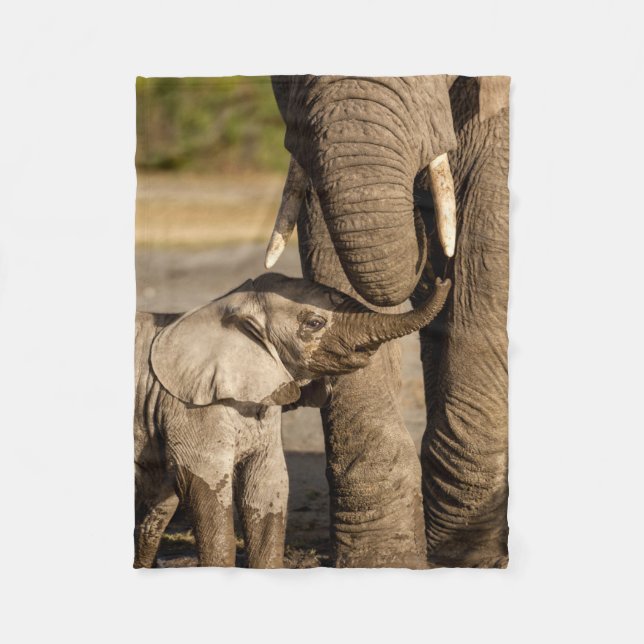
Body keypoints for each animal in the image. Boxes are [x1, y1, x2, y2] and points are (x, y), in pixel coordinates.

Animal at [133, 272, 450, 568]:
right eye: (314, 323)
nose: (441, 279)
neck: (228, 307)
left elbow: (267, 486)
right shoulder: (191, 408)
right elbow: (206, 483)